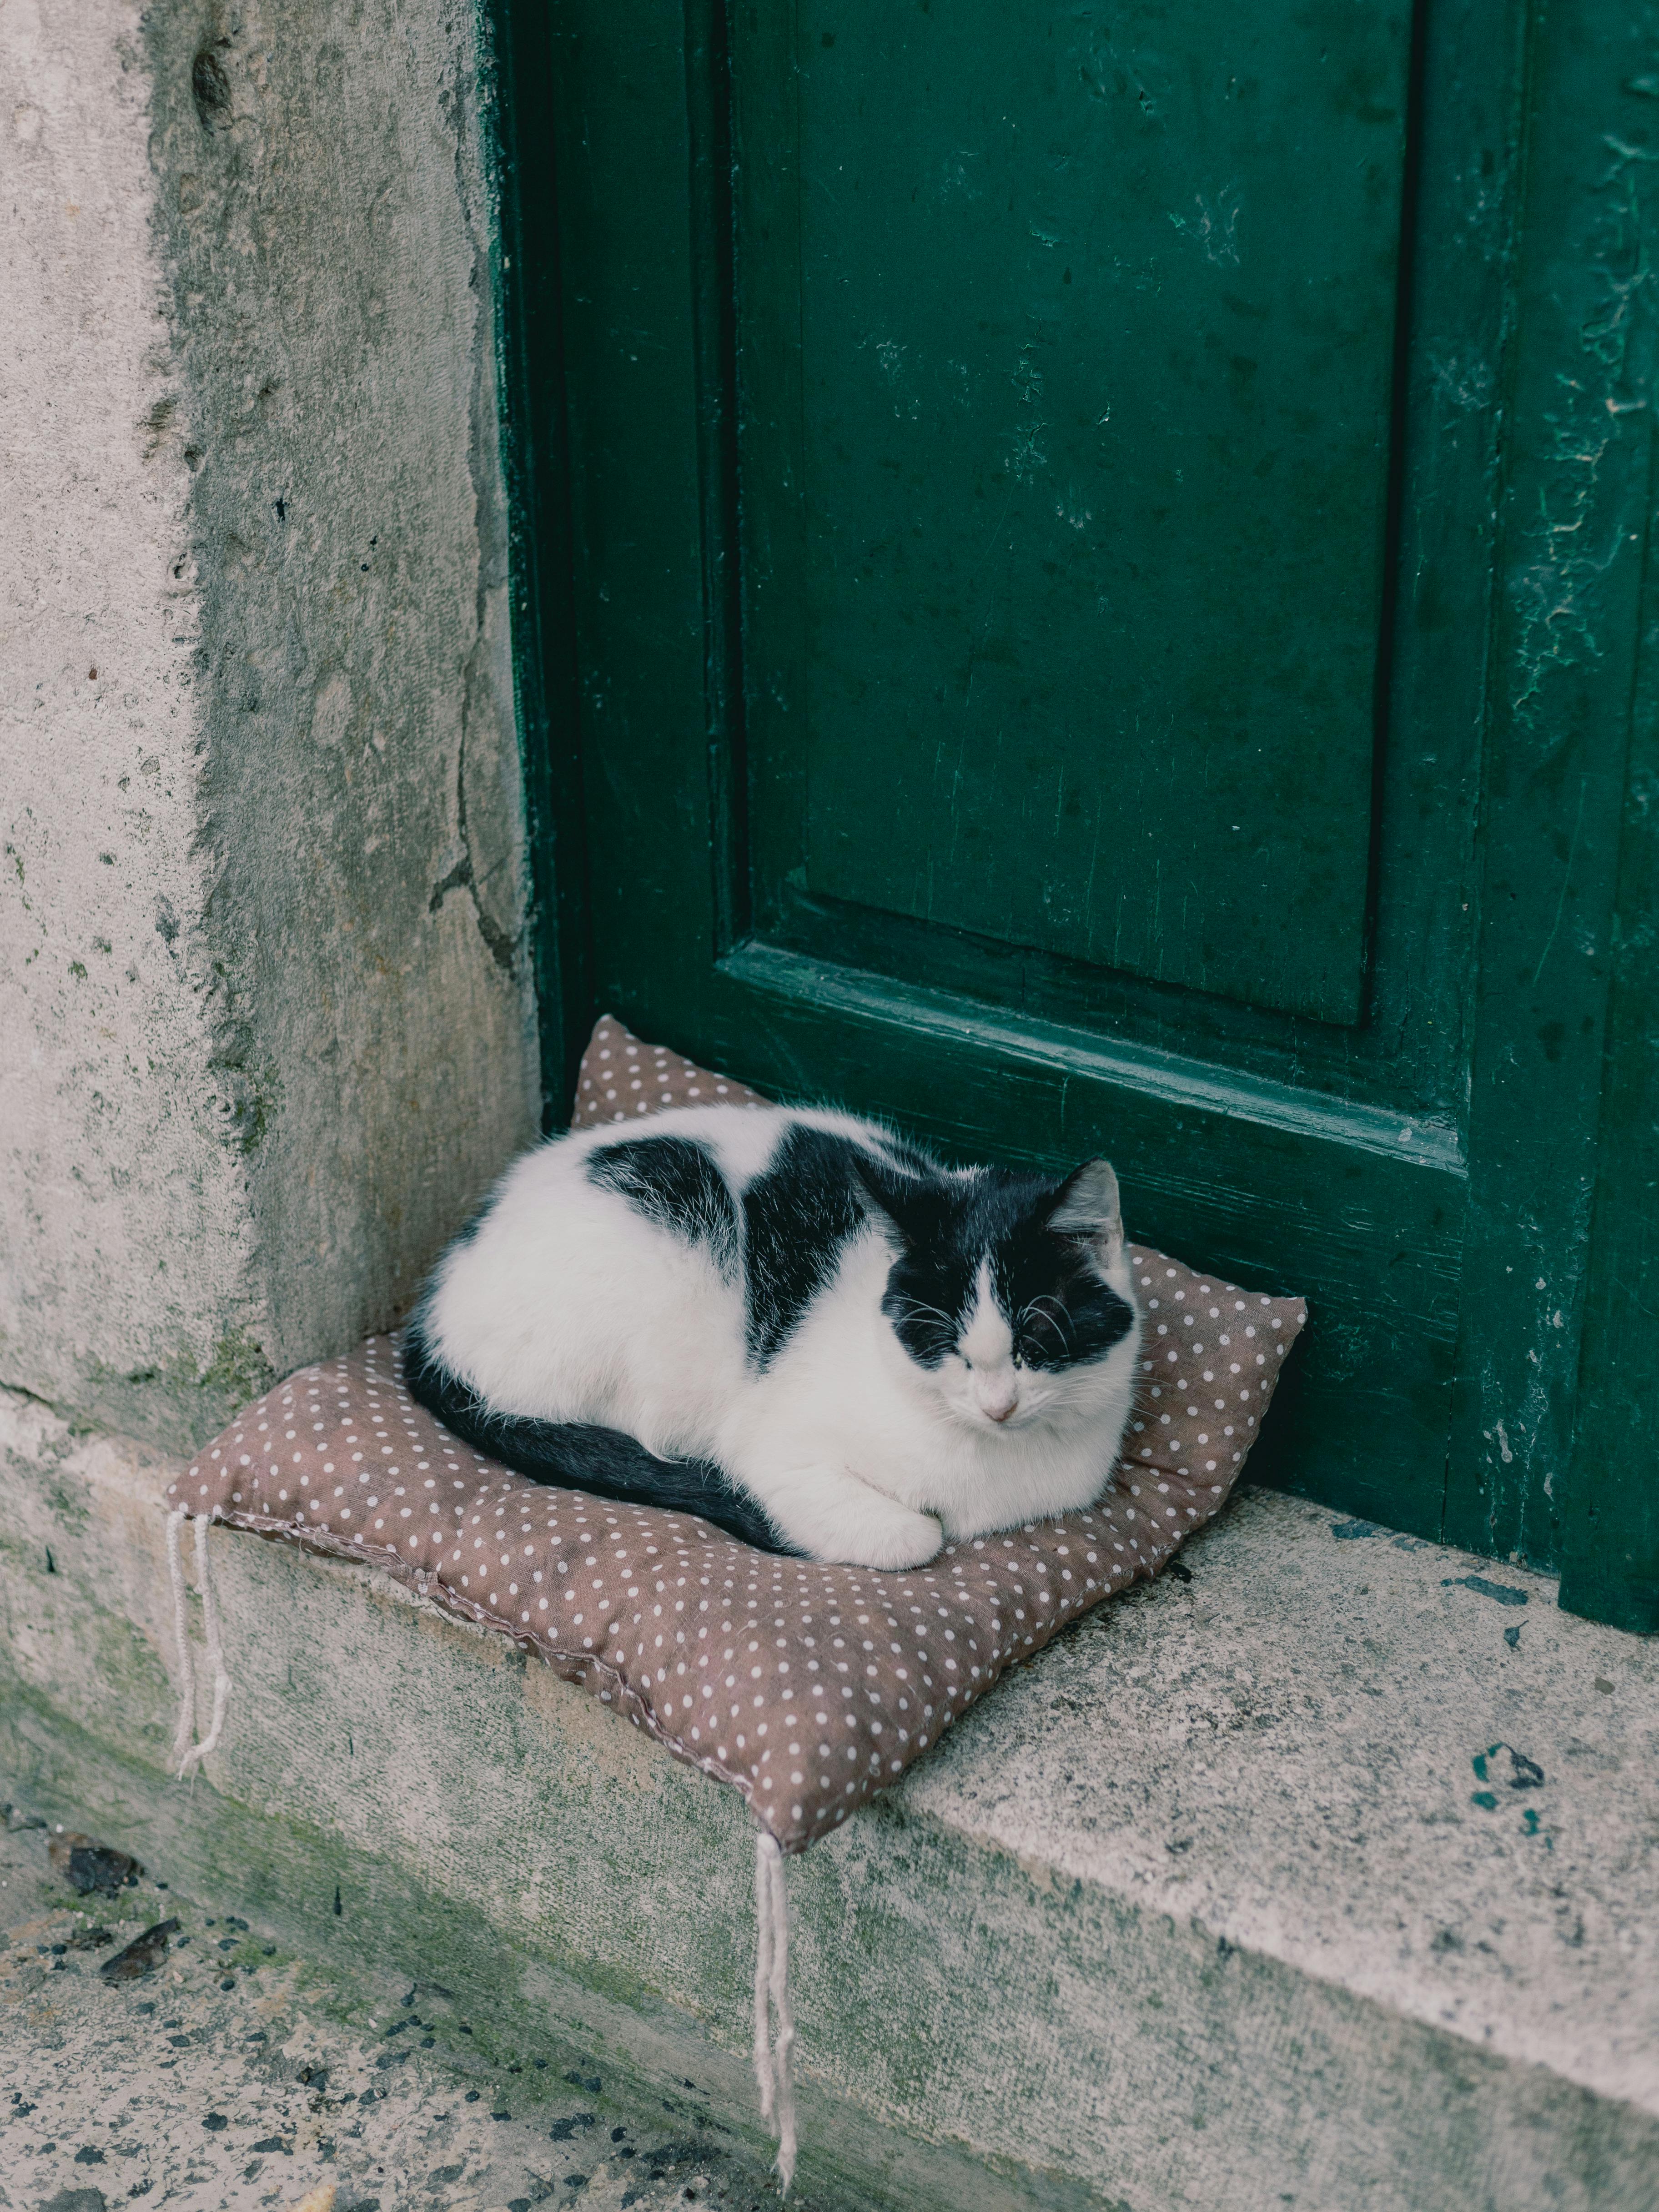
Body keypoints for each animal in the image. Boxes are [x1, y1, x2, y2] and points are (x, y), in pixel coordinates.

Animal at [407, 1106, 1141, 1575]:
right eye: (942, 1340)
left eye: (1037, 1335)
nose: (998, 1404)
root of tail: (435, 1306)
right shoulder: (775, 1453)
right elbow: (913, 1536)